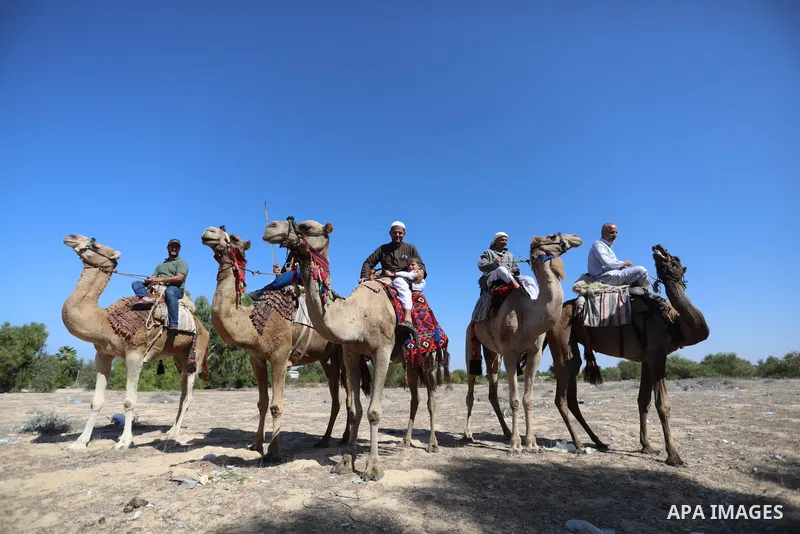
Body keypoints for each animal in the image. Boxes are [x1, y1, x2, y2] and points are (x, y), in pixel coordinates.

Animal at [62, 234, 210, 450]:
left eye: (95, 244)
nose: (71, 237)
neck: (106, 321)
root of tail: (205, 329)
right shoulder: (103, 354)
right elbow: (96, 401)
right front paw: (80, 442)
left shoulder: (135, 354)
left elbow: (129, 401)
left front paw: (124, 441)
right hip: (180, 357)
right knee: (183, 393)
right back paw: (170, 430)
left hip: (196, 355)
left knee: (189, 395)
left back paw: (174, 434)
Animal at [201, 226, 363, 460]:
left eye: (235, 238)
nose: (209, 232)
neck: (251, 323)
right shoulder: (257, 358)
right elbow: (262, 402)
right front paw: (256, 444)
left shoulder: (279, 355)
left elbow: (276, 405)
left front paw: (274, 452)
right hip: (327, 357)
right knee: (336, 396)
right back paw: (324, 440)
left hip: (344, 350)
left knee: (348, 393)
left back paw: (343, 439)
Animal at [263, 218, 447, 481]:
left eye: (307, 227)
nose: (271, 227)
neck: (357, 317)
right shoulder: (351, 353)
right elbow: (355, 411)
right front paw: (345, 462)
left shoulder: (382, 351)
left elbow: (373, 412)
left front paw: (372, 467)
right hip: (410, 361)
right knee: (415, 397)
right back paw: (405, 441)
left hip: (428, 356)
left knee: (431, 398)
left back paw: (432, 444)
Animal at [463, 233, 583, 453]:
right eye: (552, 236)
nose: (576, 238)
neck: (529, 316)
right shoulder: (510, 353)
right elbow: (515, 400)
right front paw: (516, 443)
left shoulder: (535, 353)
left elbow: (528, 399)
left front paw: (531, 442)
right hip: (471, 342)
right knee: (470, 390)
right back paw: (468, 434)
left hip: (493, 353)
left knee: (492, 391)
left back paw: (505, 432)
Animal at [545, 244, 709, 466]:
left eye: (675, 260)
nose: (658, 247)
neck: (674, 322)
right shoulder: (658, 354)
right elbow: (662, 404)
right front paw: (674, 456)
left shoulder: (648, 358)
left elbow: (643, 401)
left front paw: (647, 447)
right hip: (561, 339)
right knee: (561, 396)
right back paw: (579, 445)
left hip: (573, 348)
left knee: (572, 392)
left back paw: (599, 442)